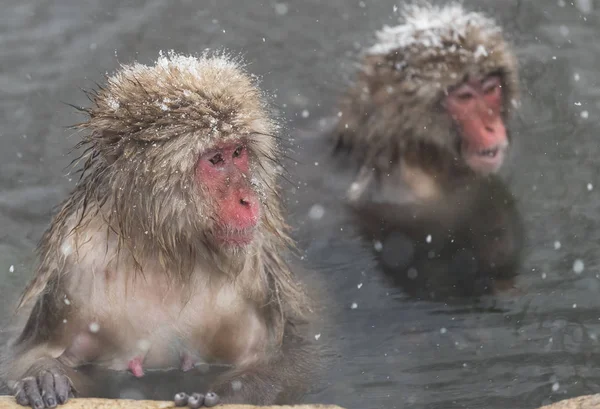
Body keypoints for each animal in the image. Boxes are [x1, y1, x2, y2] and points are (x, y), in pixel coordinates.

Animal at [1, 51, 318, 408]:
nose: (248, 199)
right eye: (216, 159)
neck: (167, 254)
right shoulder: (74, 271)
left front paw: (216, 397)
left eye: (238, 152)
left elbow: (280, 361)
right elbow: (29, 353)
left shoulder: (254, 282)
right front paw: (42, 376)